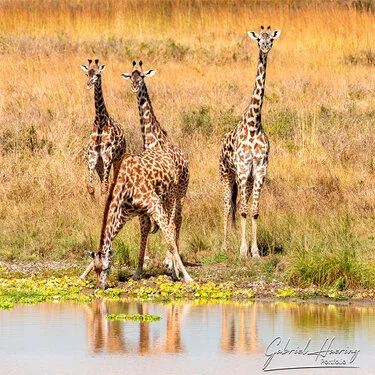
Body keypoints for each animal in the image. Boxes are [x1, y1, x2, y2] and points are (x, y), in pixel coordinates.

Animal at [80, 58, 127, 197]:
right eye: (87, 74)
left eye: (97, 74)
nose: (88, 84)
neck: (100, 122)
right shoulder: (93, 157)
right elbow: (91, 188)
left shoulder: (107, 157)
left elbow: (105, 188)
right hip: (100, 164)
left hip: (117, 159)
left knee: (111, 182)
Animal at [80, 148, 194, 290]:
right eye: (96, 269)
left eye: (106, 269)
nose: (100, 287)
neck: (126, 186)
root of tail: (180, 152)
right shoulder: (126, 214)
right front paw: (82, 276)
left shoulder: (154, 204)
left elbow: (170, 243)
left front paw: (187, 277)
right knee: (162, 226)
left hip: (177, 194)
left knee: (174, 224)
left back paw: (174, 270)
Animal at [121, 60, 189, 272]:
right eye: (130, 76)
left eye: (142, 76)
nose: (135, 86)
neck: (152, 140)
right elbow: (148, 224)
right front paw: (145, 260)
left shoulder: (169, 191)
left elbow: (166, 222)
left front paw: (170, 261)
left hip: (180, 192)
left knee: (176, 219)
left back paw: (171, 261)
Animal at [219, 24, 280, 258]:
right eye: (258, 40)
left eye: (271, 39)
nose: (265, 48)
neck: (254, 125)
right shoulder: (243, 168)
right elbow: (243, 211)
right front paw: (243, 250)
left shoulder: (260, 169)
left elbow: (253, 211)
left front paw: (254, 251)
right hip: (226, 175)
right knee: (227, 206)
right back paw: (225, 245)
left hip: (247, 179)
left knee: (239, 205)